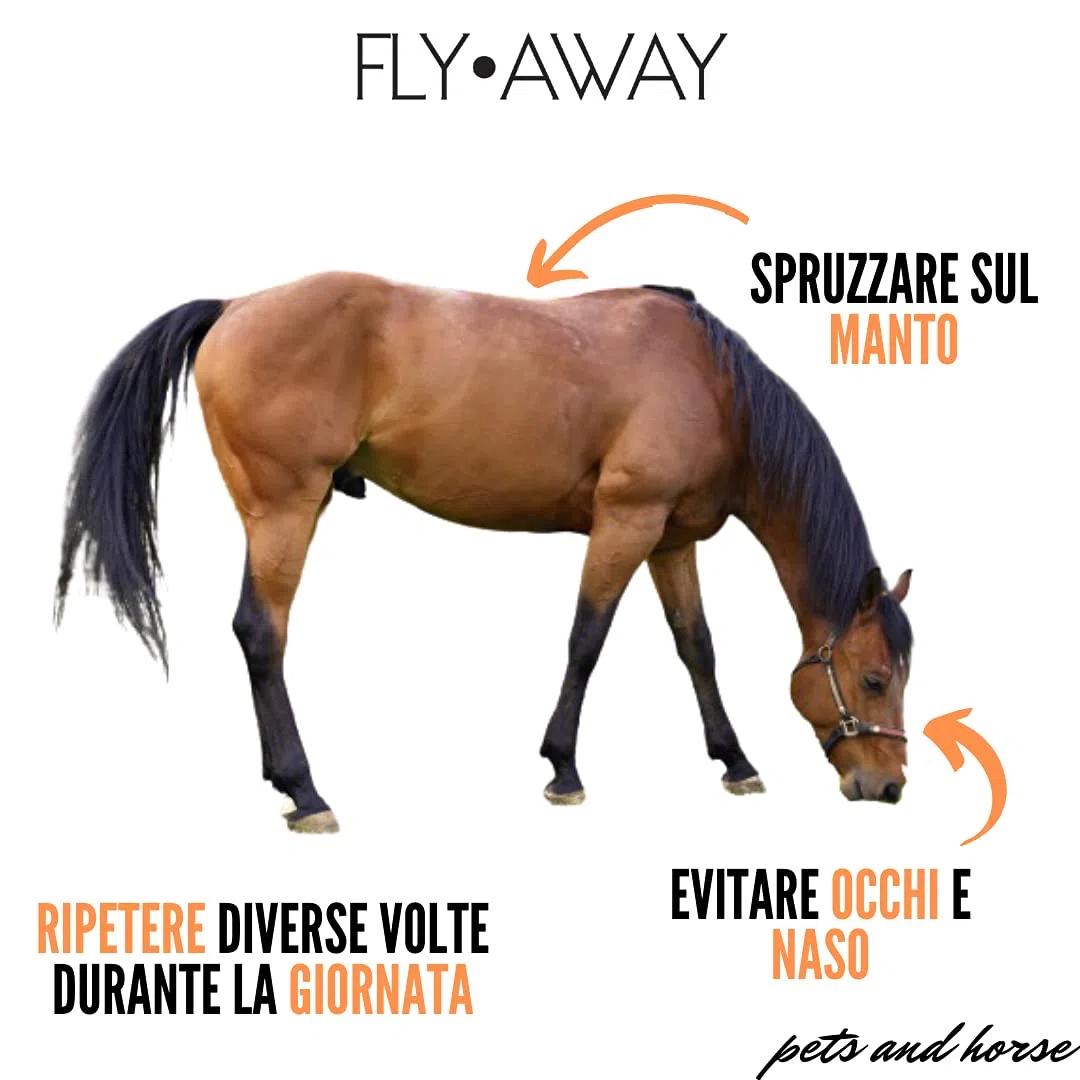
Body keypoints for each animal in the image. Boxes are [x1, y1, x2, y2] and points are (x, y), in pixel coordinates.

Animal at [56, 273, 913, 833]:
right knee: (263, 634)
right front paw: (563, 768)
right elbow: (587, 640)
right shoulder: (625, 522)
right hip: (286, 509)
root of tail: (234, 308)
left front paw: (734, 760)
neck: (711, 384)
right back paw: (305, 791)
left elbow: (695, 646)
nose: (888, 785)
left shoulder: (670, 540)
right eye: (873, 678)